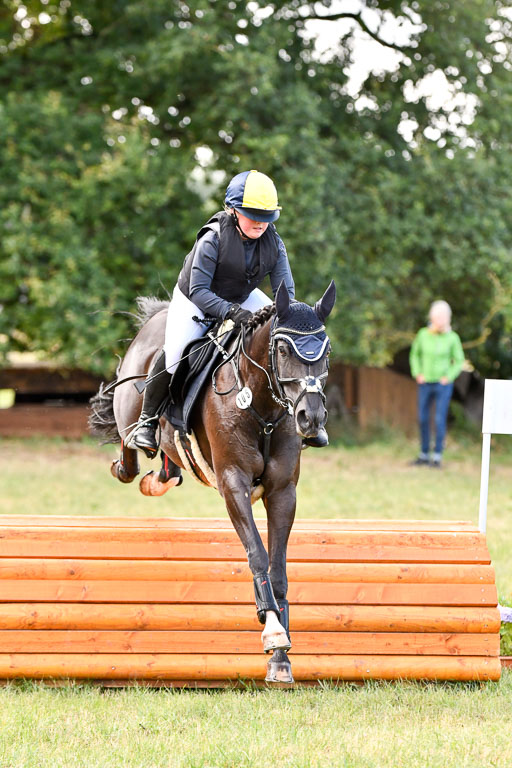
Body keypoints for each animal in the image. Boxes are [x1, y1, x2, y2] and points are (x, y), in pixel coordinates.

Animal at [89, 282, 334, 684]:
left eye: (326, 351)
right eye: (283, 349)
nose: (310, 419)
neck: (261, 405)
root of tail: (155, 316)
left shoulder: (283, 492)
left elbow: (278, 568)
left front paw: (281, 659)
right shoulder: (233, 485)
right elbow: (257, 555)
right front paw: (273, 632)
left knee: (169, 462)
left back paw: (160, 479)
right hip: (130, 408)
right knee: (129, 443)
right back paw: (135, 458)